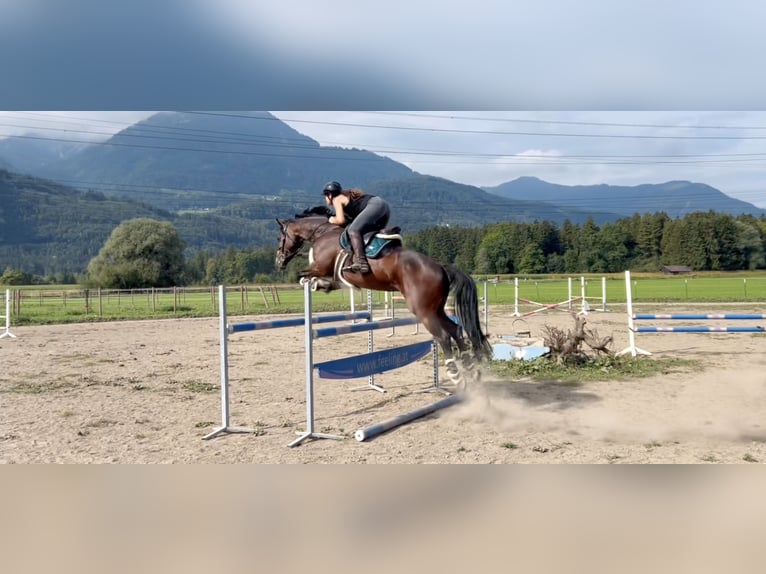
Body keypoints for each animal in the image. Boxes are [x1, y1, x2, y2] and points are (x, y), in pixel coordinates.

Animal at [276, 209, 492, 390]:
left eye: (280, 237)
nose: (279, 262)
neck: (322, 232)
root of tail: (440, 266)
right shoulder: (332, 274)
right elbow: (325, 280)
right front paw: (321, 285)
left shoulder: (320, 267)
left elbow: (303, 275)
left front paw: (312, 283)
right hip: (436, 309)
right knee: (455, 329)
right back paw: (471, 368)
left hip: (423, 311)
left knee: (444, 336)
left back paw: (456, 374)